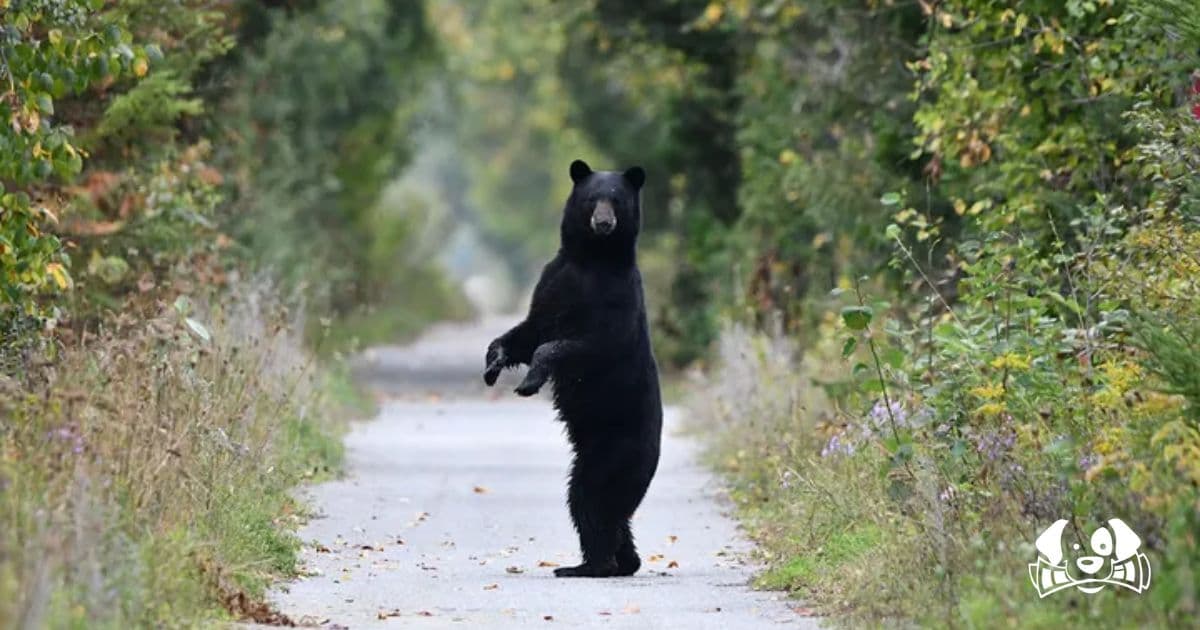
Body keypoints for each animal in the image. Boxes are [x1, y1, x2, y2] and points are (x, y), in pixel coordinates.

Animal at [483, 159, 663, 578]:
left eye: (616, 199)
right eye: (592, 198)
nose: (604, 222)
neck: (592, 258)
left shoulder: (615, 300)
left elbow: (580, 345)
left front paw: (529, 382)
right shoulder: (553, 281)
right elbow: (529, 331)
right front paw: (493, 363)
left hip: (615, 451)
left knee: (591, 499)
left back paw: (589, 565)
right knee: (610, 513)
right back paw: (623, 560)